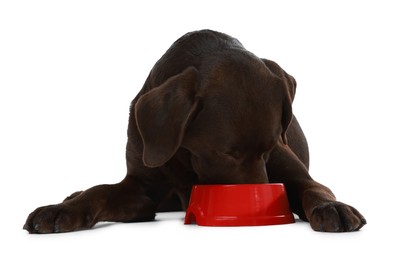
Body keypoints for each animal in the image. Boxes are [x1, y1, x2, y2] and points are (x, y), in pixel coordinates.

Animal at [23, 29, 368, 233]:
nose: (258, 212)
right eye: (226, 154)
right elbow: (100, 191)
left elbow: (314, 189)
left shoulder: (294, 173)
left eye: (270, 148)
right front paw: (61, 210)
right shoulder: (142, 189)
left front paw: (333, 208)